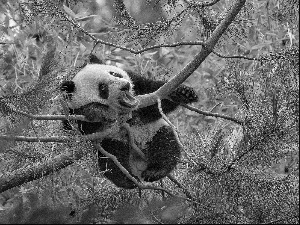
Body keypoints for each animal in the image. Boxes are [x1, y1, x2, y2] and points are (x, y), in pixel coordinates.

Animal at [59, 56, 198, 188]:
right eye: (103, 88)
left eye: (115, 74)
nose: (124, 86)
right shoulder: (69, 110)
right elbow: (76, 128)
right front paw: (97, 110)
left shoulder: (137, 83)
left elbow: (154, 94)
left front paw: (184, 92)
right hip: (112, 143)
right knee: (112, 161)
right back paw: (128, 180)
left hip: (154, 131)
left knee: (166, 144)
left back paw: (155, 171)